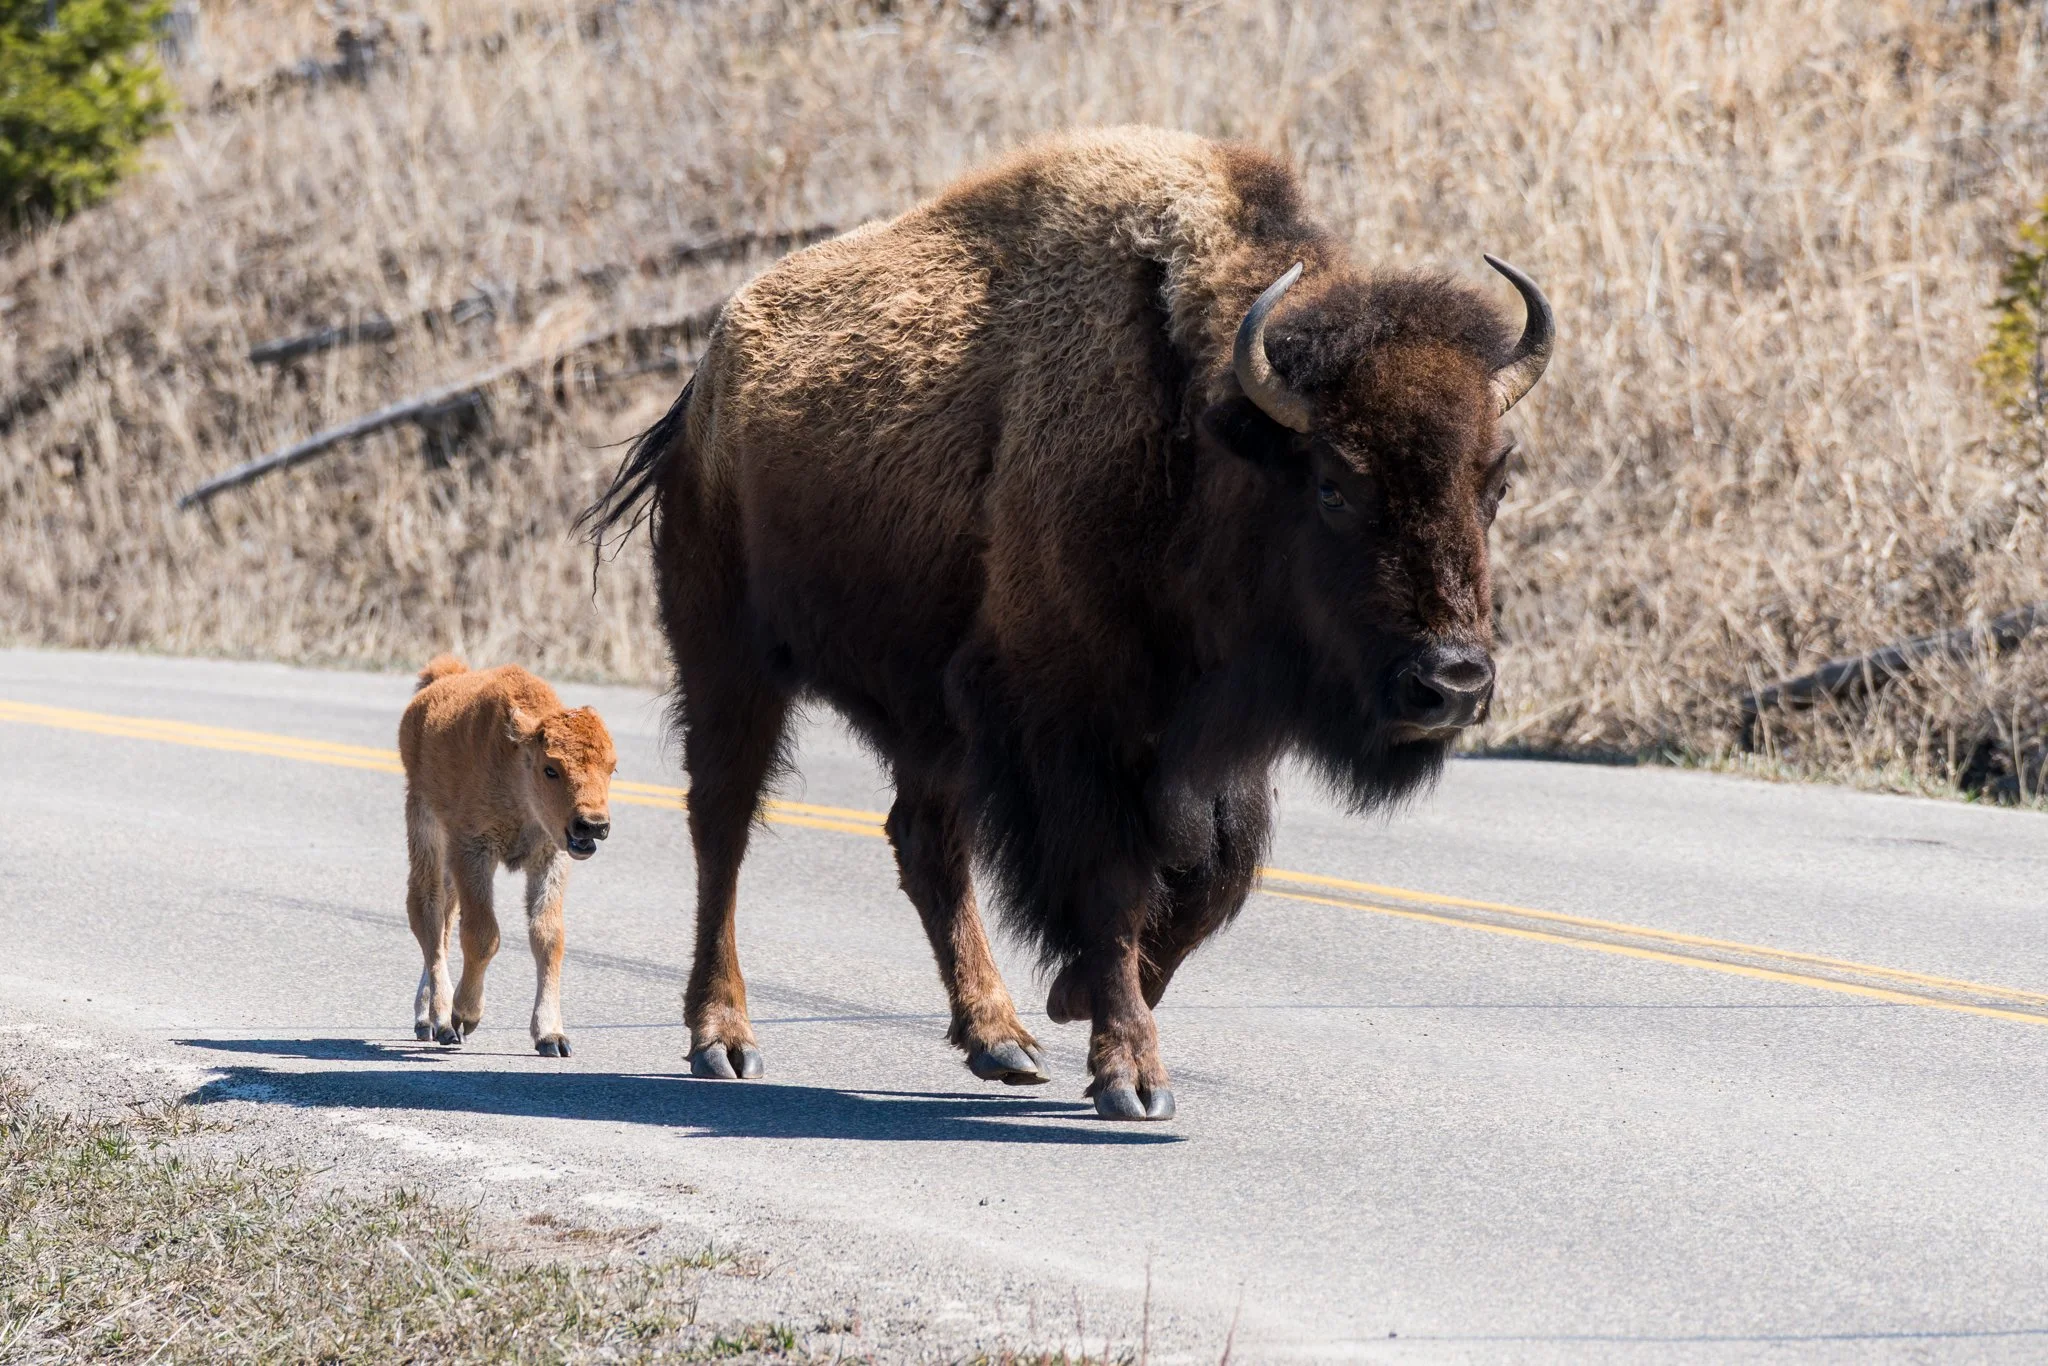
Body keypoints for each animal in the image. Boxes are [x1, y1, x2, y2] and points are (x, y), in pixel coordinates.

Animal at [583, 126, 1552, 1120]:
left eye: (1494, 480)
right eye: (1334, 483)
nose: (1451, 682)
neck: (1198, 433)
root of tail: (702, 386)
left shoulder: (1203, 743)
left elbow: (1213, 874)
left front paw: (1077, 1000)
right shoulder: (1074, 721)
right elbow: (1114, 879)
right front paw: (1131, 1073)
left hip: (926, 712)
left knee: (924, 840)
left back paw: (1000, 1039)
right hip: (730, 660)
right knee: (725, 823)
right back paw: (723, 1037)